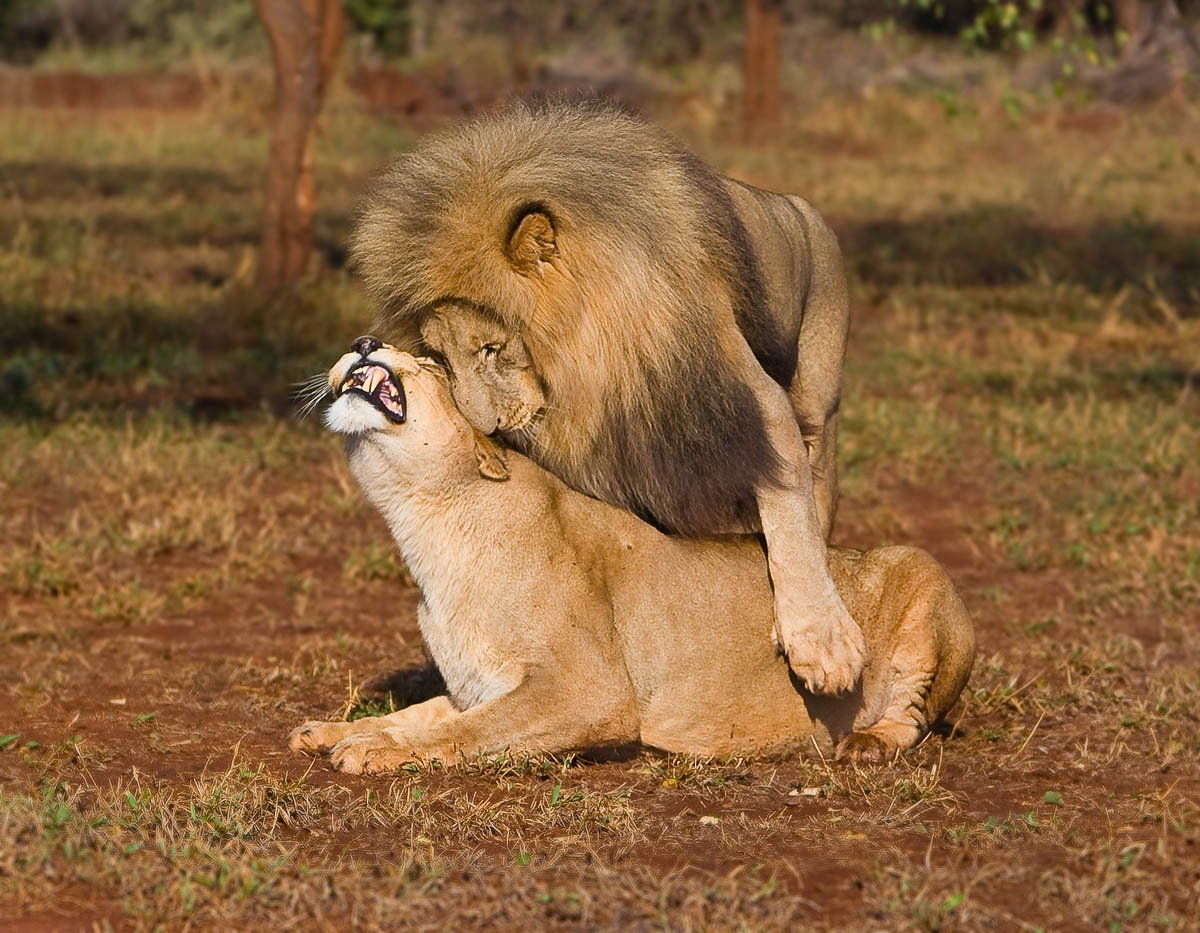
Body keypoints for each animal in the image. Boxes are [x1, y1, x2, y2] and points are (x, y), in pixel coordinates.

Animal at [290, 340, 974, 772]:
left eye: (429, 360)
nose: (363, 341)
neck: (425, 526)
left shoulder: (590, 692)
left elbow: (468, 730)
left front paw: (377, 751)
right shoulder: (475, 685)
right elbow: (420, 714)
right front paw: (334, 731)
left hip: (920, 570)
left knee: (913, 714)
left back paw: (868, 743)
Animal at [348, 98, 864, 695]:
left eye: (492, 349)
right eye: (439, 359)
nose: (485, 428)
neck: (591, 369)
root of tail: (799, 207)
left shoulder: (750, 406)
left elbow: (790, 520)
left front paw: (821, 644)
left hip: (817, 400)